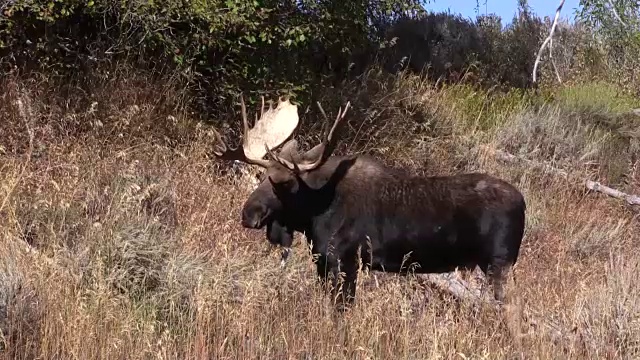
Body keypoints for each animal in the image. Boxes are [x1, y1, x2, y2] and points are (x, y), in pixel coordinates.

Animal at [214, 96, 524, 312]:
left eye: (285, 183)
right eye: (261, 177)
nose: (248, 213)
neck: (316, 210)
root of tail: (523, 204)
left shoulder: (345, 257)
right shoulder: (323, 259)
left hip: (499, 264)